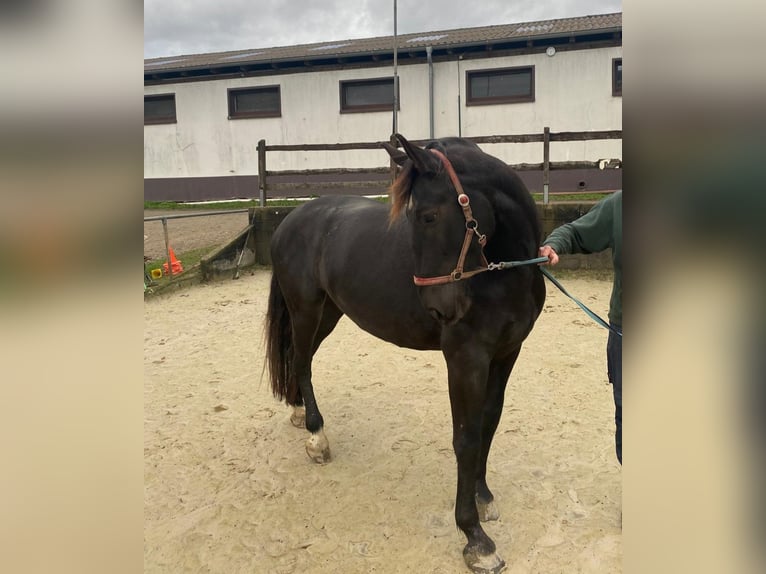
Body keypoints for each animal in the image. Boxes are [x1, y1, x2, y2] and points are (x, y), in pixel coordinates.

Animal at [268, 135, 544, 574]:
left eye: (429, 217)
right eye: (415, 218)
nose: (440, 309)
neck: (502, 275)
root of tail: (292, 219)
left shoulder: (506, 354)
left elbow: (488, 424)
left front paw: (483, 496)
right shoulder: (464, 360)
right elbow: (465, 438)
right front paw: (475, 538)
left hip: (328, 312)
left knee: (299, 359)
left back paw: (298, 413)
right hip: (306, 310)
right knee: (303, 363)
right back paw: (316, 436)